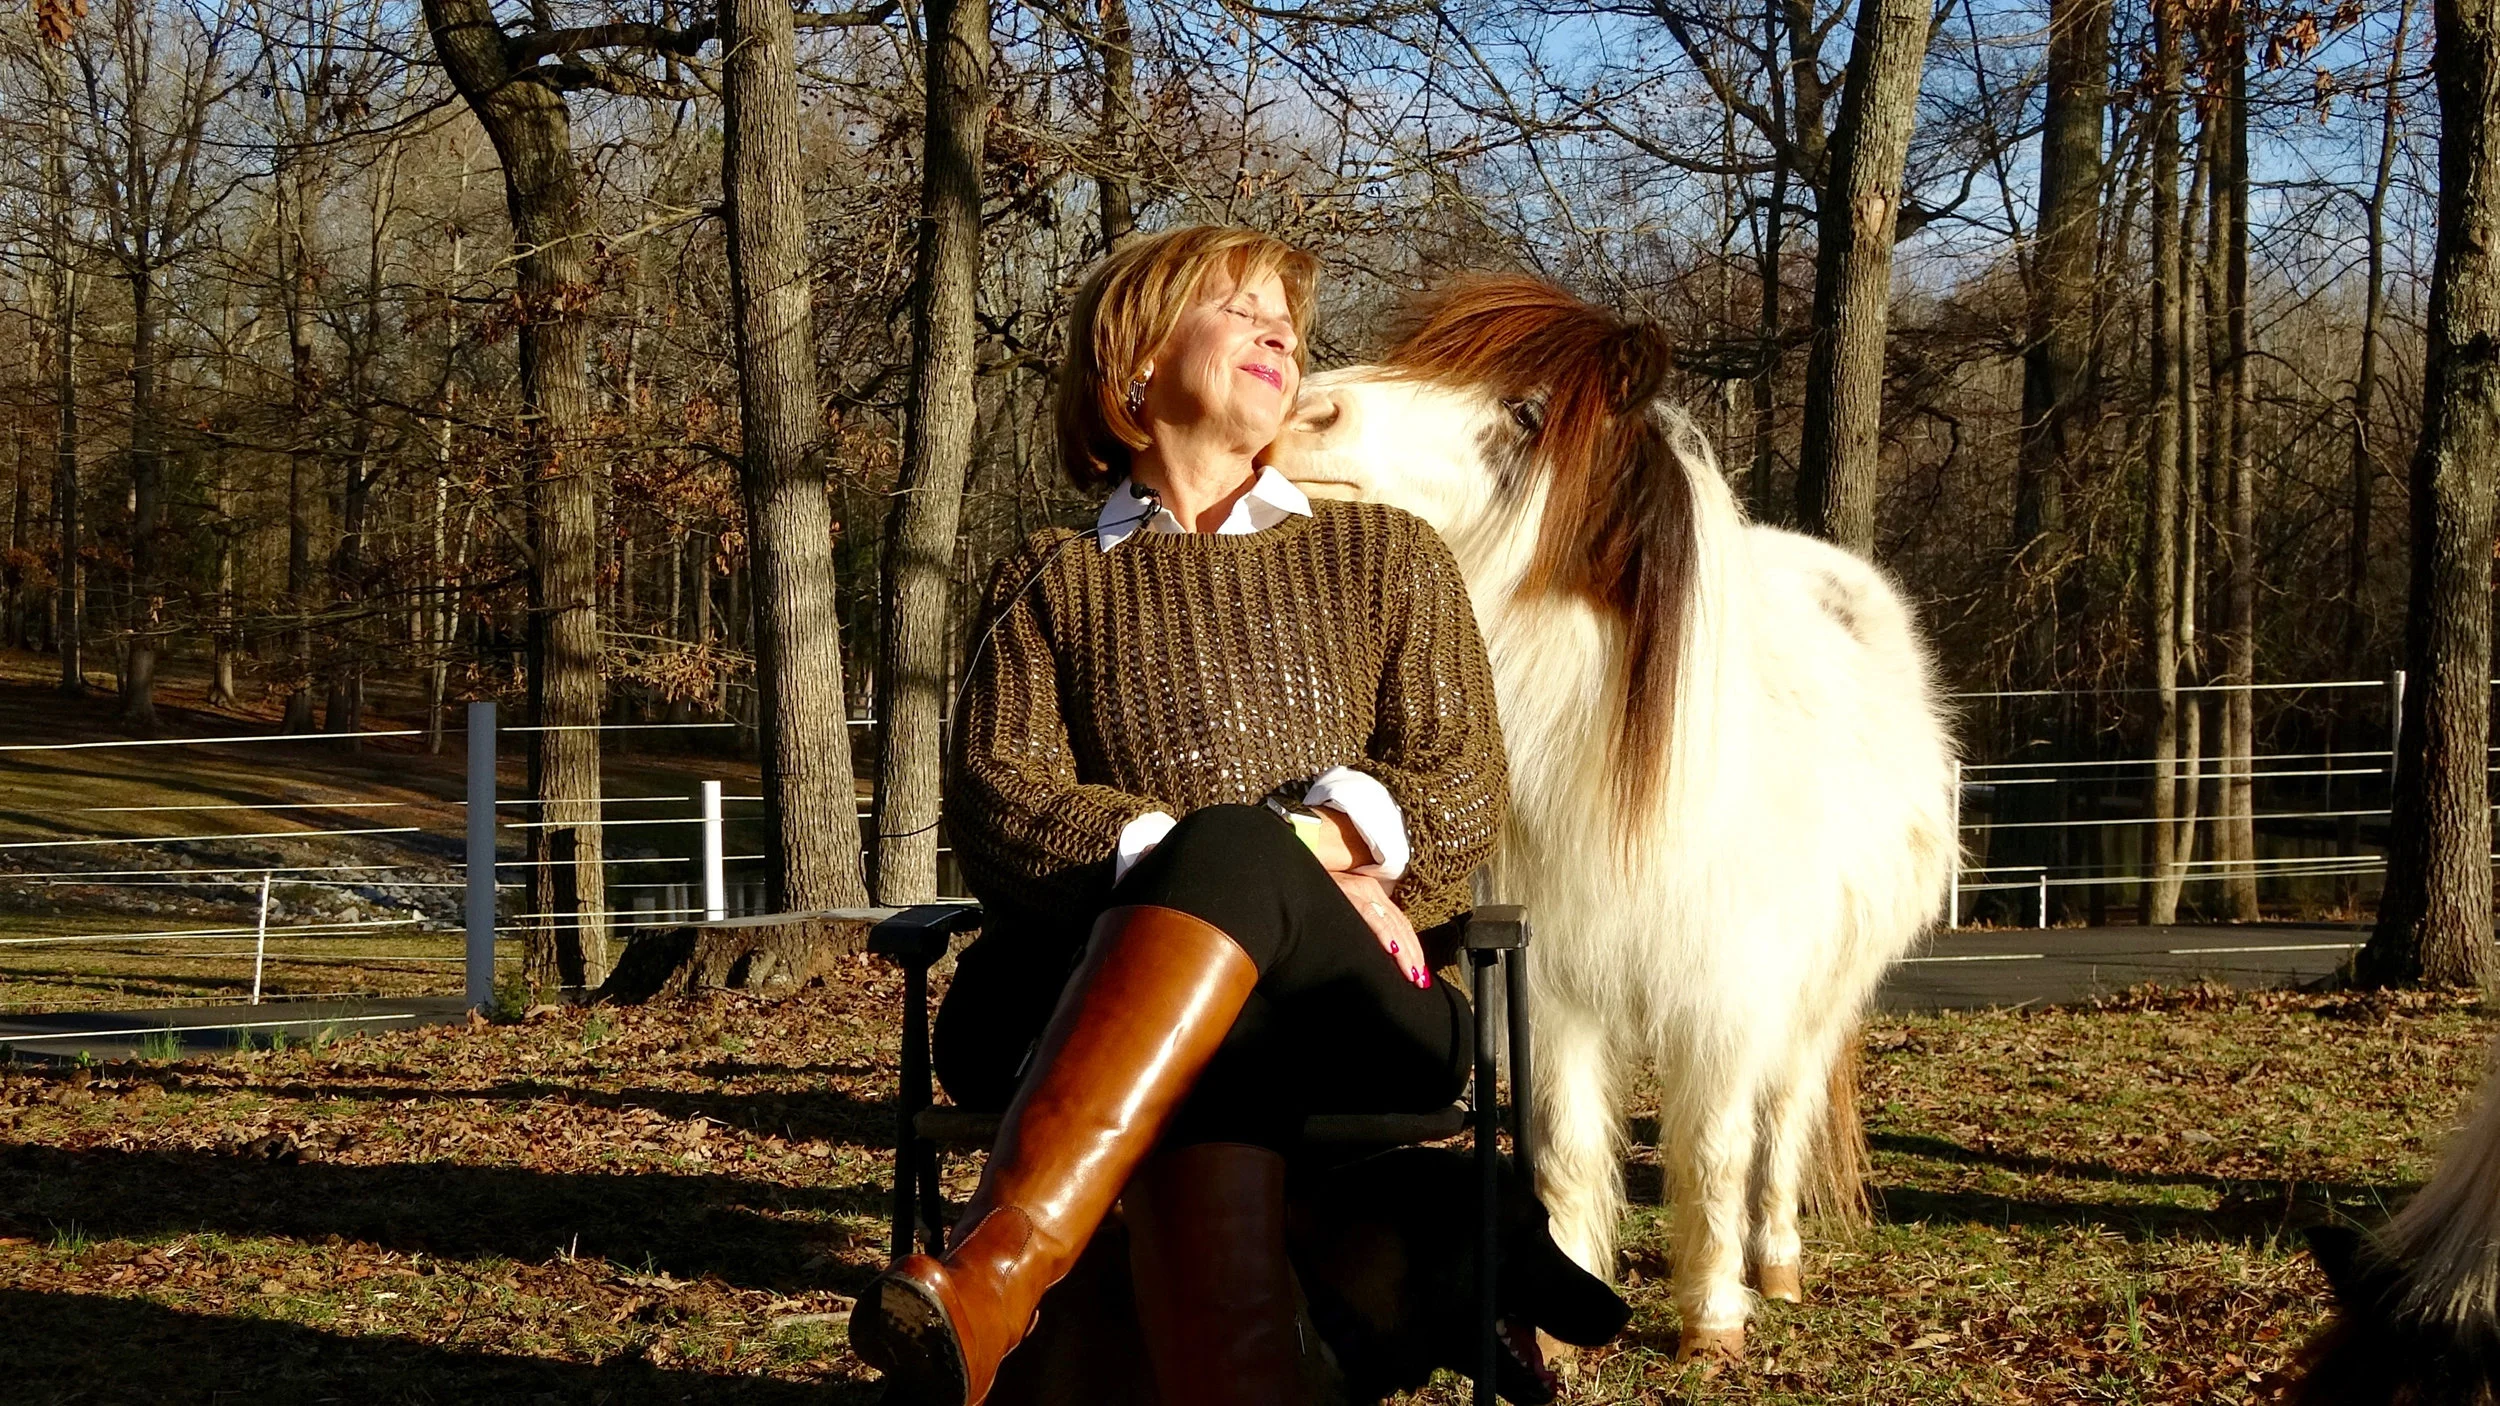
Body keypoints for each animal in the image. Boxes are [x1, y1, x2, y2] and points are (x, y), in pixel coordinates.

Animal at [1264, 273, 1957, 1360]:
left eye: (1525, 412)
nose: (1306, 409)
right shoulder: (1553, 992)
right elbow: (1559, 1148)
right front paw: (1558, 1322)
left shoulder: (1725, 1001)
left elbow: (1714, 1150)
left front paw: (1713, 1322)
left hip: (1815, 1000)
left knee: (1784, 1121)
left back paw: (1776, 1266)